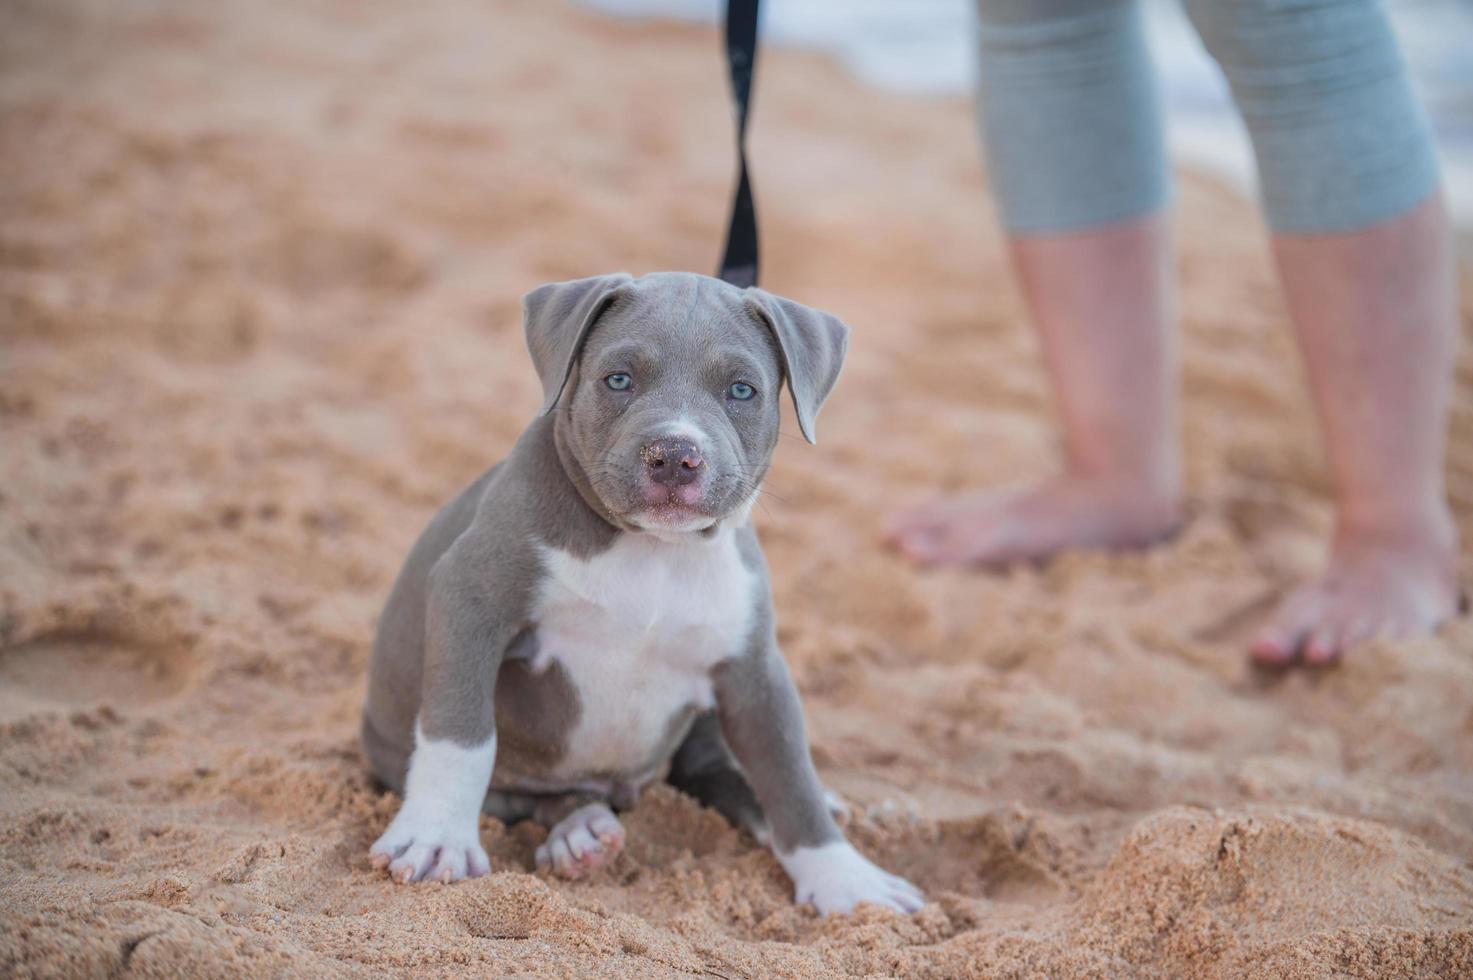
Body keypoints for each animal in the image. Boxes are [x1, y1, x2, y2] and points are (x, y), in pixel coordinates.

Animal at [359, 268, 919, 907]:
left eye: (742, 390)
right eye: (619, 379)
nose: (674, 455)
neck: (656, 550)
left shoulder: (754, 669)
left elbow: (789, 776)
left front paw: (845, 880)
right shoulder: (469, 600)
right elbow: (461, 734)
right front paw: (434, 838)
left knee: (720, 773)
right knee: (539, 797)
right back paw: (578, 832)